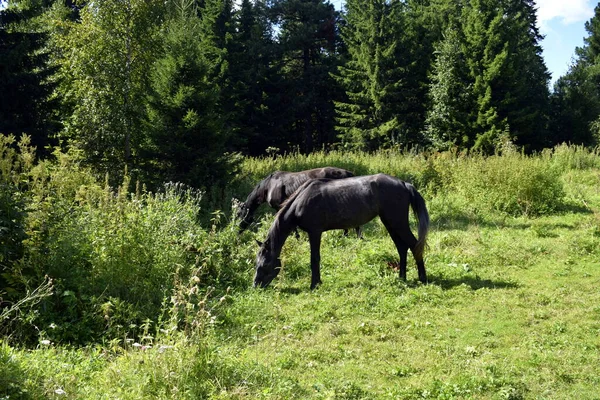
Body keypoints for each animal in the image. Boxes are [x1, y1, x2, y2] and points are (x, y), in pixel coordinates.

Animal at [255, 173, 428, 290]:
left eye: (264, 264)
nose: (255, 285)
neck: (301, 201)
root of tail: (403, 183)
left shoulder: (314, 232)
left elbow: (314, 258)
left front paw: (315, 284)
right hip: (390, 223)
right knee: (402, 247)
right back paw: (402, 277)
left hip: (398, 222)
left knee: (414, 245)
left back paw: (423, 277)